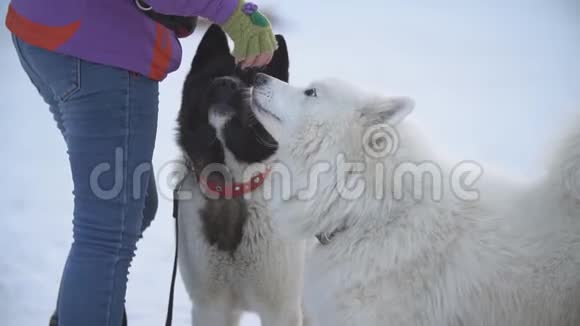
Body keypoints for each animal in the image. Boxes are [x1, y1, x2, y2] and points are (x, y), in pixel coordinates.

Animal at [174, 25, 306, 326]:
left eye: (249, 80)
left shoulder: (280, 310)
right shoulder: (210, 308)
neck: (233, 187)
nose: (226, 83)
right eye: (213, 75)